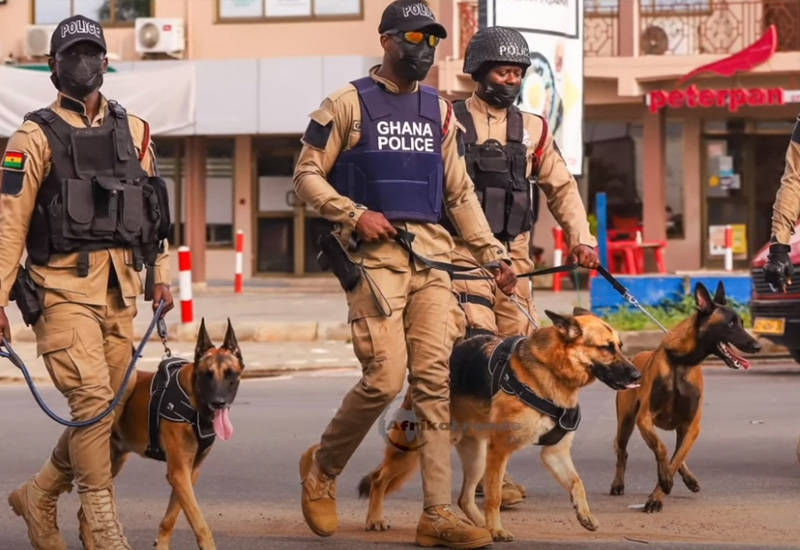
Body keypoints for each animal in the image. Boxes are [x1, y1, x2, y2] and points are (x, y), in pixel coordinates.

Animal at [80, 320, 247, 550]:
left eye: (231, 374)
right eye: (207, 375)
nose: (219, 403)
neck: (191, 401)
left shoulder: (188, 473)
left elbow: (170, 518)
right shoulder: (179, 472)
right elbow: (200, 523)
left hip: (113, 462)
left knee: (84, 509)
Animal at [360, 310, 640, 544]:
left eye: (620, 347)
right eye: (606, 348)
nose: (637, 375)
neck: (550, 371)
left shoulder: (554, 453)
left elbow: (577, 483)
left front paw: (584, 514)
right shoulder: (500, 451)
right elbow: (494, 496)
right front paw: (497, 529)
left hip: (476, 457)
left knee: (464, 498)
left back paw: (480, 526)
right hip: (415, 451)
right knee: (379, 478)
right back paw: (374, 519)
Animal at [612, 282, 764, 516]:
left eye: (742, 322)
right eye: (730, 324)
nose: (757, 347)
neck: (681, 362)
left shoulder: (692, 425)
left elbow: (675, 459)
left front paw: (658, 495)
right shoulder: (644, 418)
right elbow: (662, 449)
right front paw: (664, 480)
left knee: (679, 454)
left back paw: (688, 478)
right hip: (626, 422)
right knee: (623, 452)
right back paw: (618, 483)